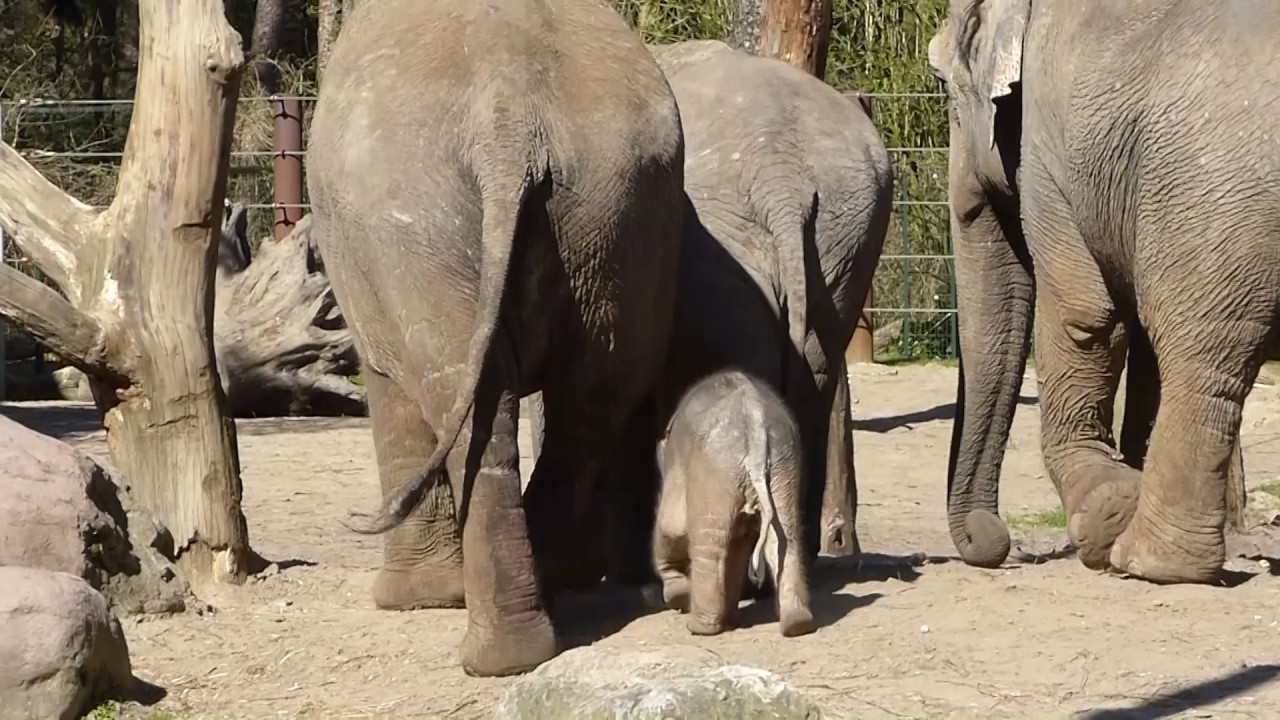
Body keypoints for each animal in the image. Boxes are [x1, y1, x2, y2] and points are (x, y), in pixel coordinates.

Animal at [306, 0, 685, 676]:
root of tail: (511, 121)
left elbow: (387, 386)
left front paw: (410, 599)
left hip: (413, 219)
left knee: (465, 391)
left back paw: (495, 654)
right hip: (620, 207)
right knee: (590, 403)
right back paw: (538, 614)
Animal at [652, 369, 815, 638]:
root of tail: (757, 427)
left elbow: (672, 526)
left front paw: (678, 597)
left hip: (714, 468)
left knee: (709, 545)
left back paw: (699, 627)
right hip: (783, 466)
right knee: (785, 539)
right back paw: (797, 624)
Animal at [928, 0, 1280, 584]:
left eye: (943, 88)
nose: (997, 543)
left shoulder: (1049, 154)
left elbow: (1085, 315)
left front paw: (1106, 512)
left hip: (1214, 192)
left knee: (1200, 353)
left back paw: (1146, 560)